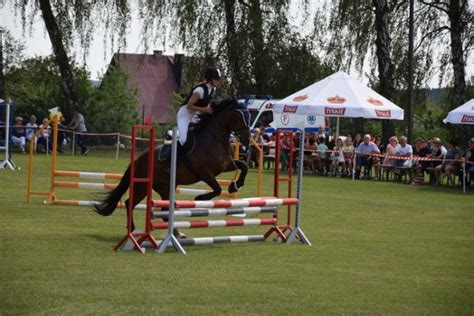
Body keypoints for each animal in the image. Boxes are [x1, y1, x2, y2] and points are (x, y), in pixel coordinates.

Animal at [93, 99, 252, 235]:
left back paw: (177, 234)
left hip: (165, 187)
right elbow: (217, 189)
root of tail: (138, 160)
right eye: (238, 116)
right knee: (129, 203)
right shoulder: (204, 172)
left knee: (164, 211)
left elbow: (244, 166)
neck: (215, 138)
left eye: (249, 115)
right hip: (142, 186)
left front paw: (235, 185)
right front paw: (200, 197)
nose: (247, 139)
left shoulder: (225, 166)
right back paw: (132, 229)